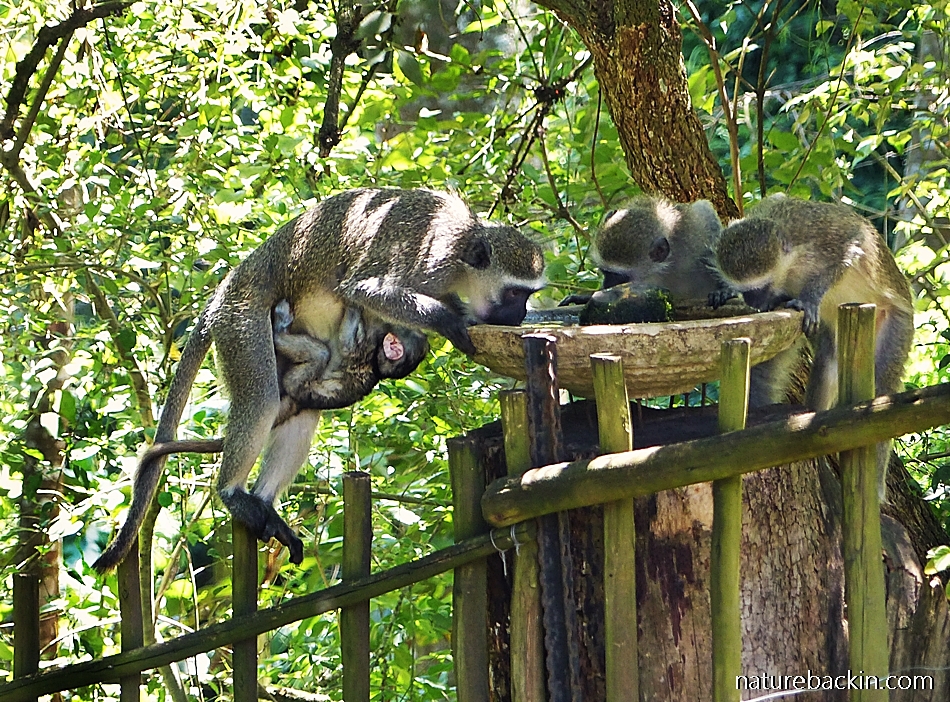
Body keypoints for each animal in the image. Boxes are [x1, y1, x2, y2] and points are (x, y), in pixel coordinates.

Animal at [93, 188, 545, 572]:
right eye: (515, 293)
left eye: (527, 295)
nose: (520, 315)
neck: (464, 253)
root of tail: (223, 293)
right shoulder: (427, 261)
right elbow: (364, 289)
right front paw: (451, 323)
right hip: (240, 324)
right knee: (260, 397)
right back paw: (233, 494)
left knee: (301, 409)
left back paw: (264, 505)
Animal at [709, 194, 914, 496]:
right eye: (747, 291)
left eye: (760, 287)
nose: (754, 303)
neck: (790, 264)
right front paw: (725, 292)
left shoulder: (818, 232)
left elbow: (852, 242)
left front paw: (810, 298)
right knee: (828, 363)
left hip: (898, 323)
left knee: (883, 389)